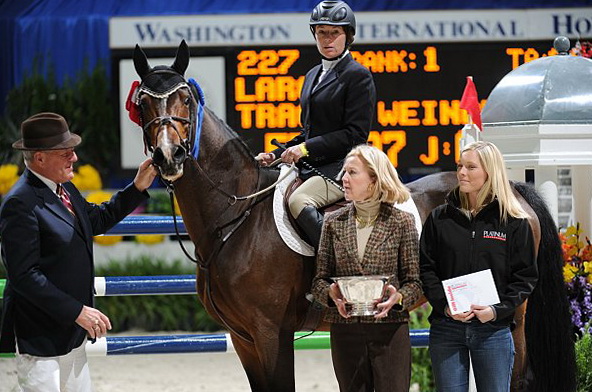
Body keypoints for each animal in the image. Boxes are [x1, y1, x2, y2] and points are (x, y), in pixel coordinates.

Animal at [128, 40, 572, 392]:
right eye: (144, 102)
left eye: (186, 99)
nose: (169, 156)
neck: (236, 216)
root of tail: (510, 188)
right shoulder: (243, 338)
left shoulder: (270, 332)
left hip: (512, 315)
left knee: (516, 375)